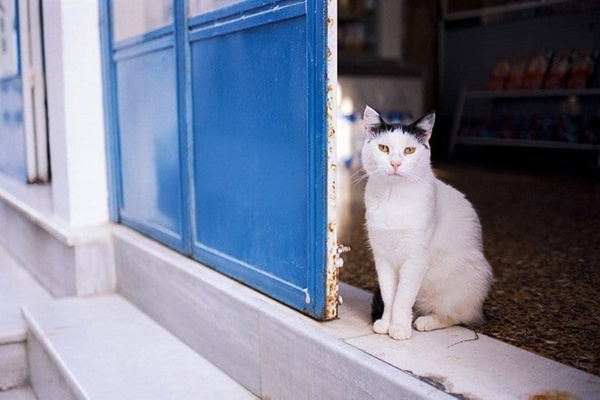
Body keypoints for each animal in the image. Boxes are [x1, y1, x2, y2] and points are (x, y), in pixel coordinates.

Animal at [360, 104, 492, 340]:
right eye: (383, 148)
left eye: (409, 151)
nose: (395, 163)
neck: (393, 198)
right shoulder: (382, 258)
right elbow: (389, 295)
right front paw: (385, 323)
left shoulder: (415, 259)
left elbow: (402, 298)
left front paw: (399, 329)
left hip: (464, 284)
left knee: (457, 316)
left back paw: (425, 321)